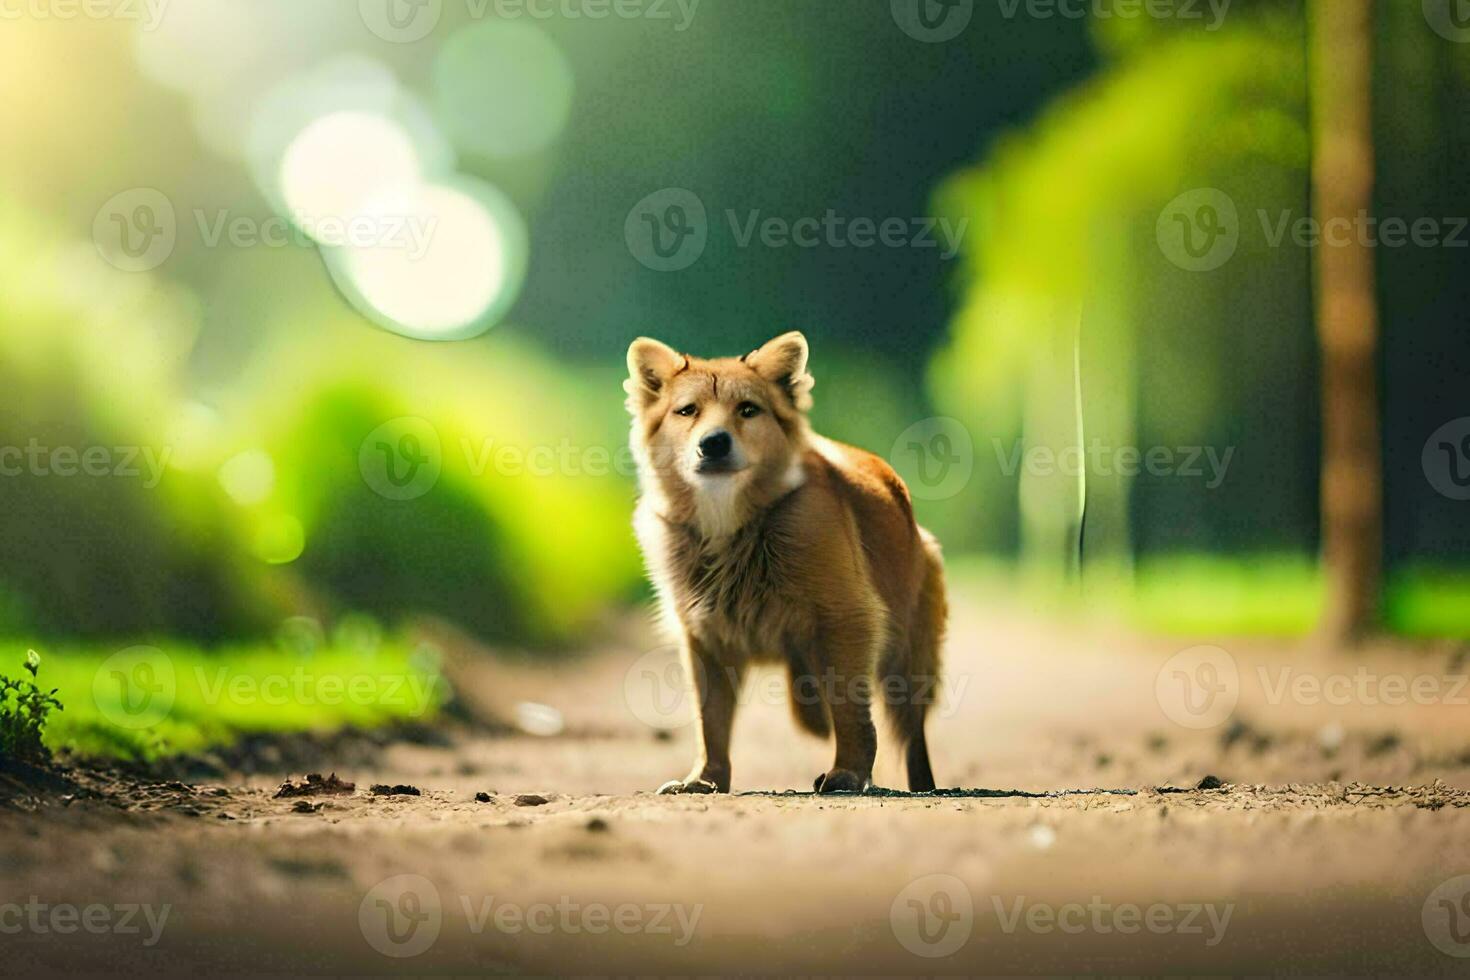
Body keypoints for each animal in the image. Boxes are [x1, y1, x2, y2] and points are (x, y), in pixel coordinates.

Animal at [623, 333, 946, 793]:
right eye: (686, 410)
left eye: (748, 409)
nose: (714, 442)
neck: (732, 527)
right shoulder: (702, 636)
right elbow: (710, 721)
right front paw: (705, 778)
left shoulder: (847, 619)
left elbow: (849, 708)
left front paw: (848, 771)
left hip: (910, 659)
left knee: (911, 730)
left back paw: (924, 784)